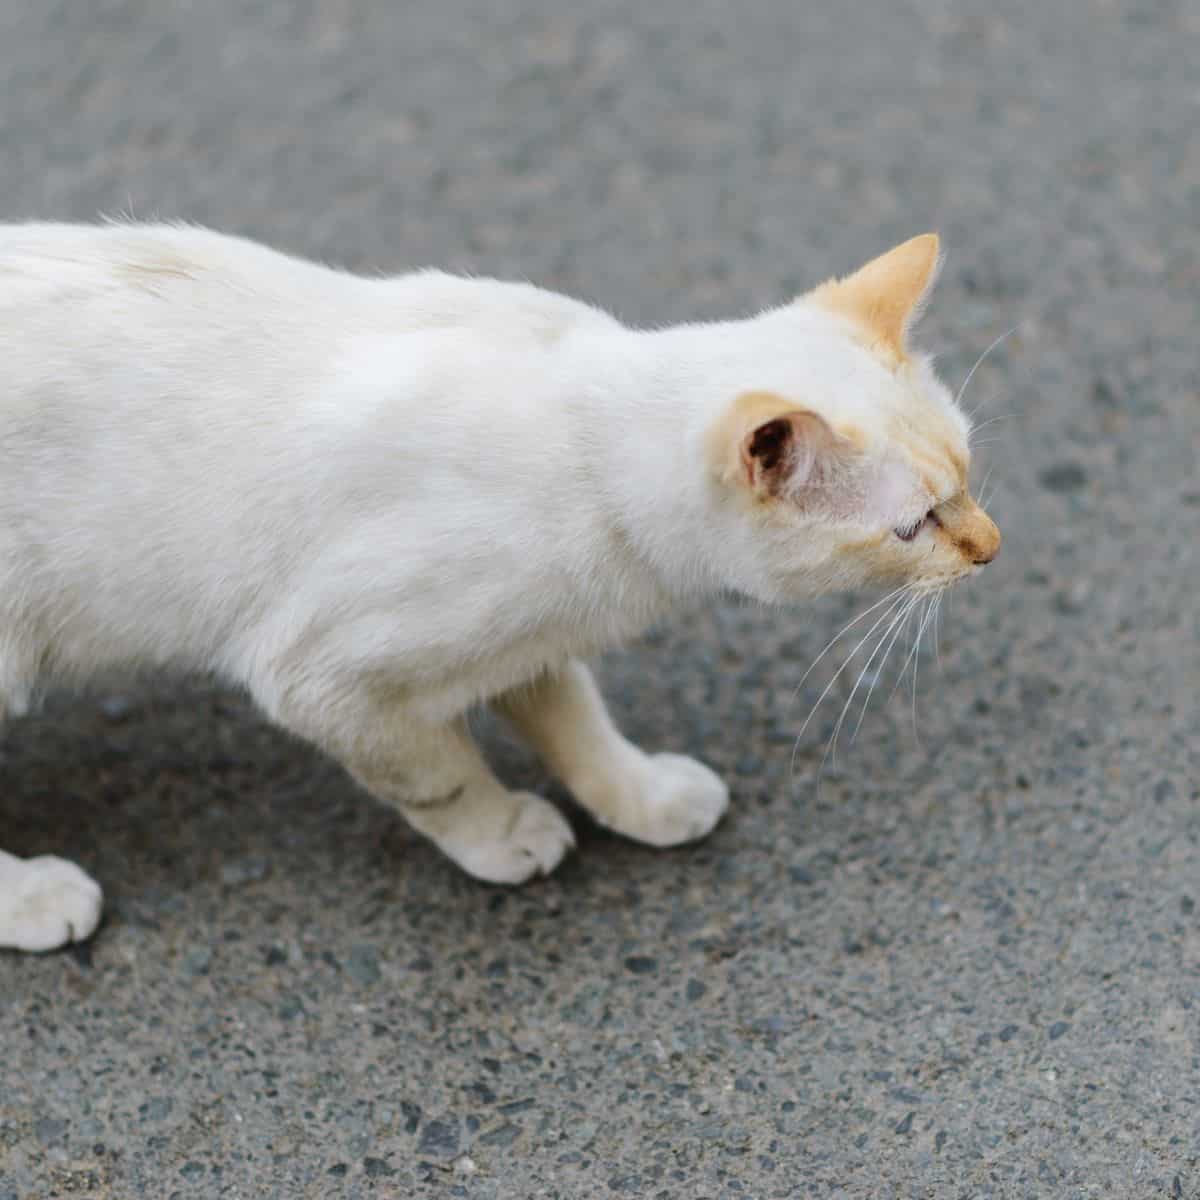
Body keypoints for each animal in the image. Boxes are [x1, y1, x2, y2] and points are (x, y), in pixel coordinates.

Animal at [0, 225, 993, 950]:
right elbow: (439, 777)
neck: (588, 443)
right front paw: (502, 833)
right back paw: (36, 899)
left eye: (969, 476)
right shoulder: (321, 675)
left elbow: (577, 726)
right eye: (914, 525)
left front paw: (641, 798)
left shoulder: (531, 637)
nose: (990, 548)